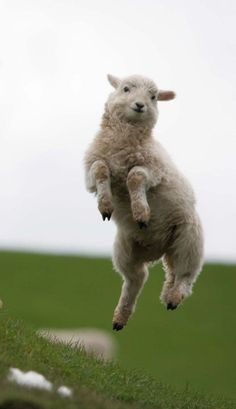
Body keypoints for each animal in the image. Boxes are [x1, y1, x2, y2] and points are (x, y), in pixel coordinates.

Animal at [84, 72, 204, 328]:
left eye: (153, 97)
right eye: (126, 89)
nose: (140, 105)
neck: (122, 142)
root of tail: (158, 249)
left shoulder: (154, 171)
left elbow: (135, 177)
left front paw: (141, 212)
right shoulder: (91, 172)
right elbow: (100, 169)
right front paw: (106, 205)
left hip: (189, 238)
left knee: (186, 274)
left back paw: (174, 296)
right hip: (126, 249)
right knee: (136, 278)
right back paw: (121, 317)